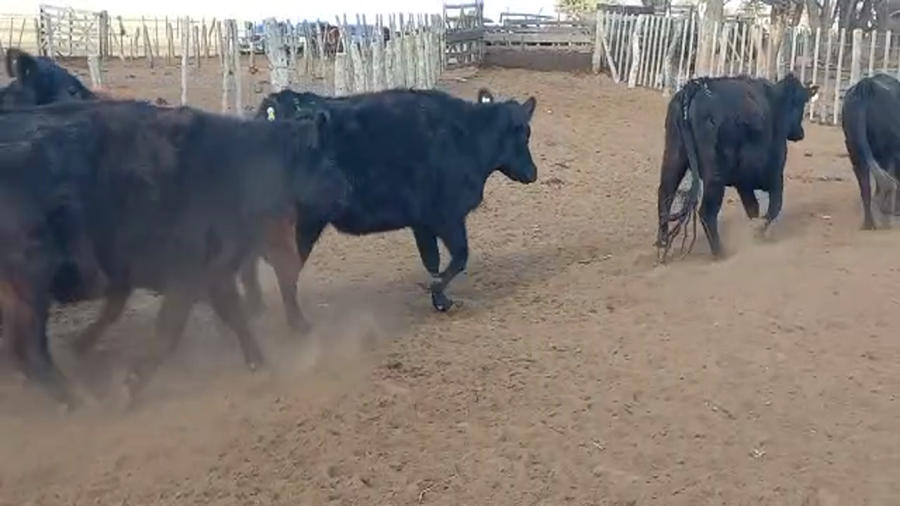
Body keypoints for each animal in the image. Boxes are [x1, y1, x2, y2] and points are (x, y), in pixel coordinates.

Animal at [0, 99, 350, 410]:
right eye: (330, 161)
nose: (347, 190)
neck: (238, 170)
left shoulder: (212, 272)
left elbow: (235, 316)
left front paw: (258, 363)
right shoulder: (188, 274)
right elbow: (168, 332)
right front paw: (129, 387)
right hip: (29, 284)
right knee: (26, 349)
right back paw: (75, 400)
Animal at [247, 87, 538, 329]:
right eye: (524, 133)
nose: (532, 173)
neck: (467, 137)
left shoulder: (422, 223)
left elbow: (432, 260)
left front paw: (439, 299)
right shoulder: (447, 217)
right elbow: (460, 257)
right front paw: (436, 290)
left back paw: (257, 308)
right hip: (302, 223)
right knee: (284, 269)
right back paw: (297, 324)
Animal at [656, 73, 818, 261]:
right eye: (800, 103)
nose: (800, 133)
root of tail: (694, 88)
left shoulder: (744, 184)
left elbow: (753, 208)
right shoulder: (775, 175)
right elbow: (773, 207)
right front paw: (758, 232)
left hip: (674, 157)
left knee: (665, 194)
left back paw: (662, 244)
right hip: (715, 176)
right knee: (706, 212)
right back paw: (719, 251)